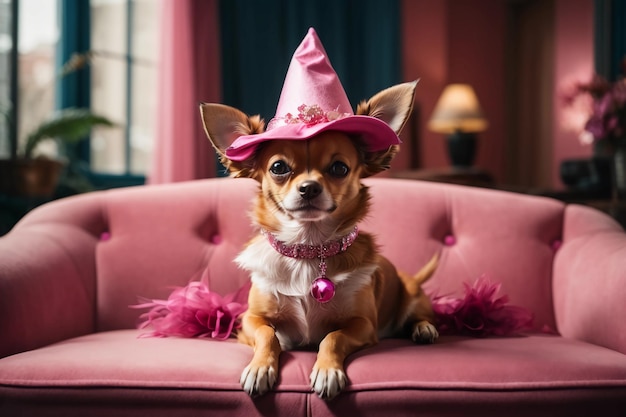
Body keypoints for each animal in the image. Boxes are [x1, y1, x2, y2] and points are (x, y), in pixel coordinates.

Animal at [199, 79, 434, 400]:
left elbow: (332, 337)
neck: (308, 249)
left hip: (411, 295)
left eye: (339, 168)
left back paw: (424, 329)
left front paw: (327, 371)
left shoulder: (363, 325)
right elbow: (268, 335)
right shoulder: (249, 319)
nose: (309, 187)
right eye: (278, 168)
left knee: (419, 315)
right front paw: (260, 368)